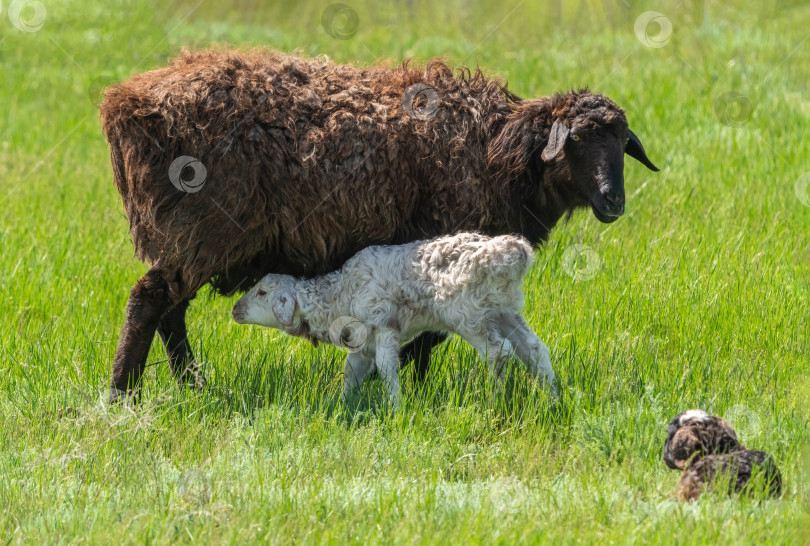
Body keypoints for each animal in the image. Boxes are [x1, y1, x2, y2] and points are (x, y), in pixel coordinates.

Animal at [230, 230, 552, 404]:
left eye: (262, 292)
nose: (235, 310)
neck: (341, 294)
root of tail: (512, 252)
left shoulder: (385, 325)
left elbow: (387, 368)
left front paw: (395, 407)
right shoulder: (361, 338)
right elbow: (352, 371)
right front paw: (343, 404)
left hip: (468, 315)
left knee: (499, 351)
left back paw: (496, 401)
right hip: (503, 310)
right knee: (534, 349)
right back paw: (554, 398)